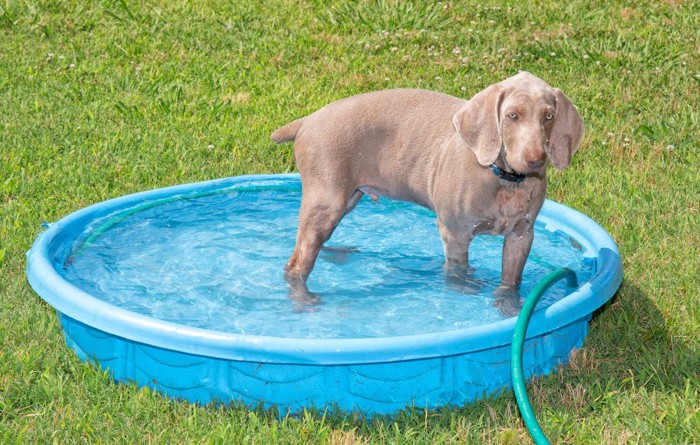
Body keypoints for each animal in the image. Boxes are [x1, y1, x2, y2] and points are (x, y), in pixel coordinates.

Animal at [270, 71, 584, 314]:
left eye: (549, 116)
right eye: (512, 115)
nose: (536, 160)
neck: (503, 179)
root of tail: (308, 120)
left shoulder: (522, 234)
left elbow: (511, 281)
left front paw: (510, 308)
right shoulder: (455, 232)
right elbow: (458, 276)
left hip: (346, 198)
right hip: (326, 200)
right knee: (297, 263)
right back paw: (305, 300)